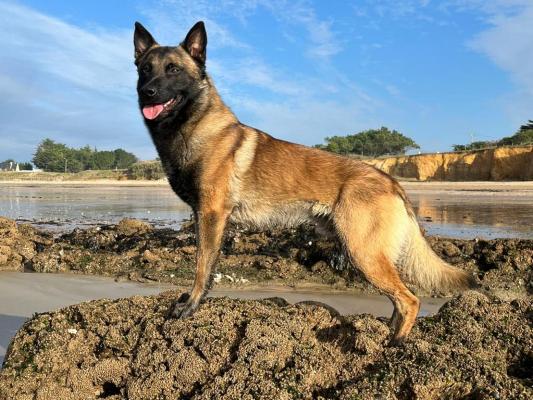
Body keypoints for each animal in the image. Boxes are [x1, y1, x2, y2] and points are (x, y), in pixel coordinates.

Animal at [134, 20, 474, 344]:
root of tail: (391, 181)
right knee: (398, 301)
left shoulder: (210, 216)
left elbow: (202, 267)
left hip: (363, 252)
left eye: (173, 69)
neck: (193, 125)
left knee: (409, 299)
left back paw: (396, 345)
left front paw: (190, 306)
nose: (146, 93)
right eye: (145, 69)